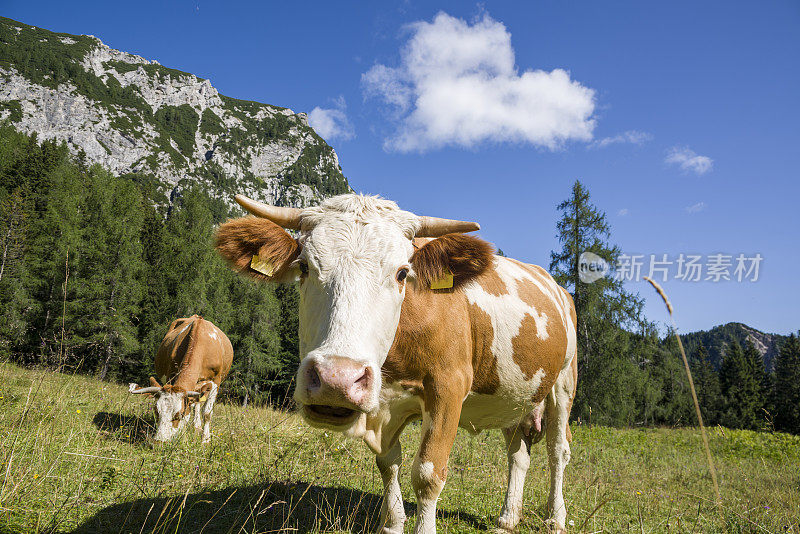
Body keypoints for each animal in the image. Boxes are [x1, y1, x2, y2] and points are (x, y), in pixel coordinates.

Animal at [128, 316, 233, 446]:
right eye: (156, 411)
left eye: (180, 414)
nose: (159, 442)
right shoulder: (171, 374)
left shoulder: (215, 382)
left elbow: (207, 413)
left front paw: (205, 440)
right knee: (195, 403)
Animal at [216, 197, 580, 534]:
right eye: (304, 267)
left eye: (402, 273)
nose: (336, 379)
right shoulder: (383, 402)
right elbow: (388, 463)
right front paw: (393, 523)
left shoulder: (448, 388)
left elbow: (428, 473)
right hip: (515, 396)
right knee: (518, 453)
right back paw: (507, 519)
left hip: (564, 381)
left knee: (558, 450)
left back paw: (556, 517)